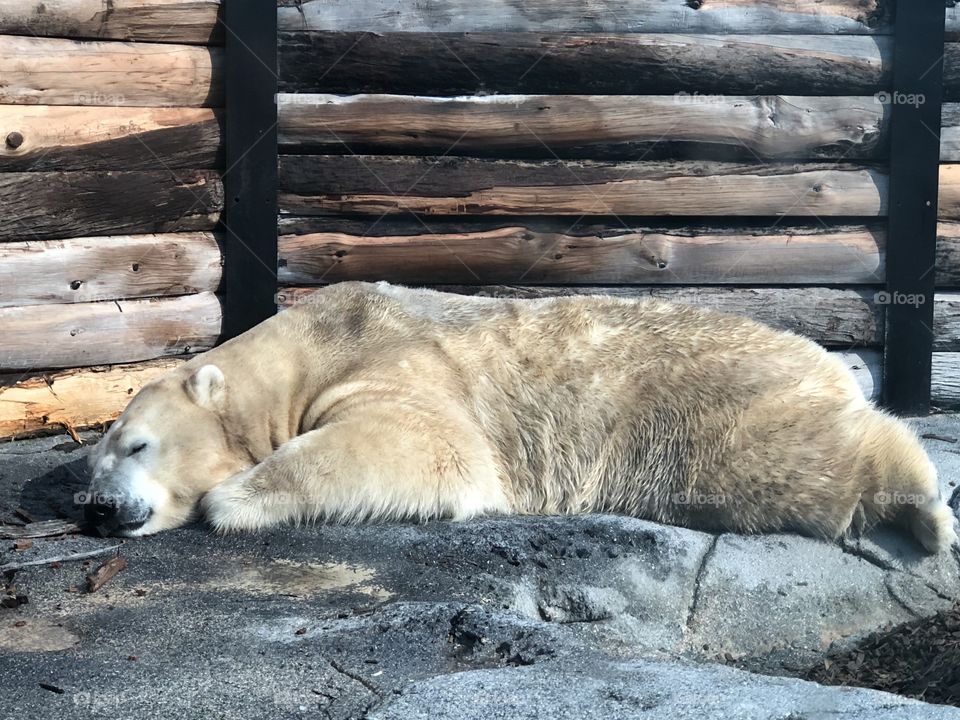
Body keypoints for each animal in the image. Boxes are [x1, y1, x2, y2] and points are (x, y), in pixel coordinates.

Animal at [84, 281, 957, 552]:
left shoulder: (387, 365)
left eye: (137, 444)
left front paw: (230, 499)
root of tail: (828, 362)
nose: (95, 510)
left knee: (806, 466)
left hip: (718, 414)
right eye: (92, 462)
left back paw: (926, 508)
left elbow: (428, 446)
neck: (309, 344)